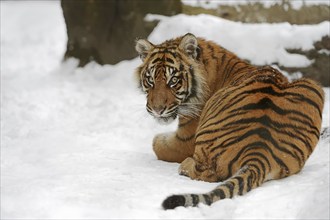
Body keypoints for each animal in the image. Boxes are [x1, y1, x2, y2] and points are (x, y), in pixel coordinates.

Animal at [134, 33, 324, 210]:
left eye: (173, 81)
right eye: (150, 80)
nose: (157, 110)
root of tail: (258, 151)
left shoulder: (184, 140)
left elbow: (157, 145)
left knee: (205, 173)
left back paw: (184, 166)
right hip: (313, 86)